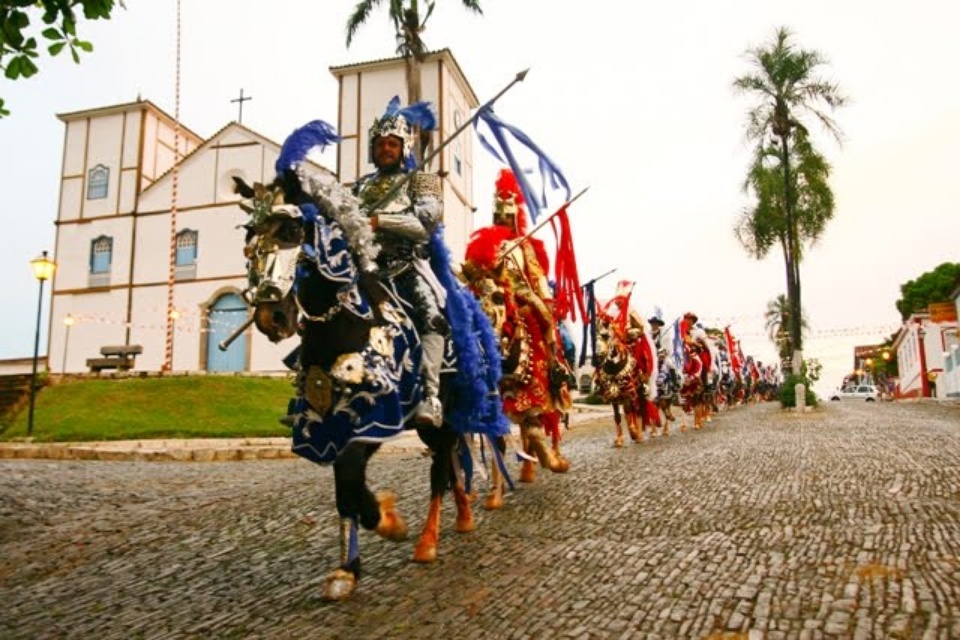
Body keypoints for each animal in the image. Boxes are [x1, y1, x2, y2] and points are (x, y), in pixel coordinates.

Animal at [232, 160, 506, 600]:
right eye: (248, 236)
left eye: (290, 230)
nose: (272, 316)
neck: (344, 322)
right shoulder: (327, 422)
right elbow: (345, 489)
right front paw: (348, 569)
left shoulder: (374, 416)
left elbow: (350, 479)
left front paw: (391, 524)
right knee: (447, 465)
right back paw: (462, 517)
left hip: (444, 416)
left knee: (439, 470)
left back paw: (428, 541)